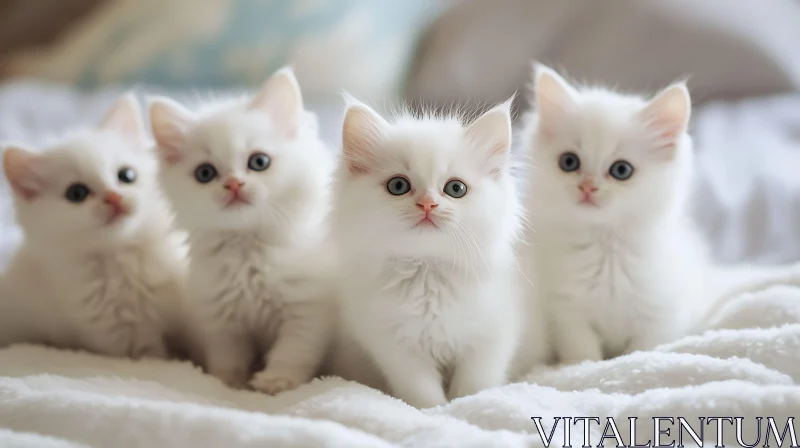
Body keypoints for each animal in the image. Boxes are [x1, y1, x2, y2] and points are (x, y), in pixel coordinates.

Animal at [0, 93, 187, 358]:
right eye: (77, 193)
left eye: (127, 175)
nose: (113, 197)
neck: (124, 259)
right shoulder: (124, 340)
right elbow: (162, 359)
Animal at [150, 67, 334, 396]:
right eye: (205, 173)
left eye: (259, 162)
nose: (233, 184)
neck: (248, 248)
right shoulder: (221, 319)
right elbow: (229, 357)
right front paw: (229, 383)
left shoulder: (307, 309)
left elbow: (292, 352)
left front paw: (276, 382)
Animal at [328, 98, 528, 410]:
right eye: (398, 186)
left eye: (456, 188)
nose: (427, 204)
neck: (428, 273)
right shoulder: (394, 343)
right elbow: (420, 389)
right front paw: (434, 410)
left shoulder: (492, 336)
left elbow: (476, 382)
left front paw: (469, 403)